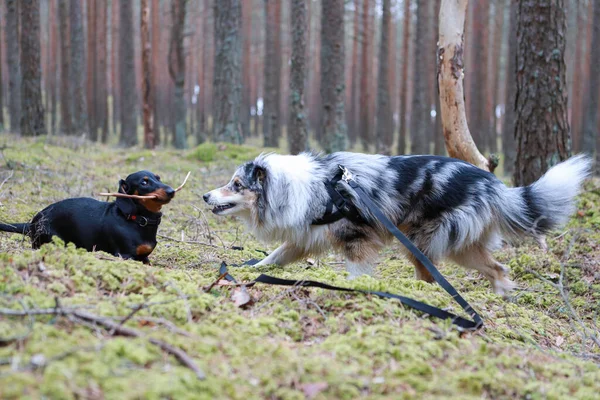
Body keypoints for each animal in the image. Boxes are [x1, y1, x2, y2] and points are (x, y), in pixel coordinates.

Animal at [204, 152, 592, 296]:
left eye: (236, 185)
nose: (206, 196)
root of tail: (493, 183)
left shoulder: (356, 237)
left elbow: (356, 270)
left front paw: (356, 287)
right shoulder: (304, 236)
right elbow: (275, 257)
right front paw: (250, 267)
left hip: (423, 241)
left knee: (437, 274)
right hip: (459, 248)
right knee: (498, 267)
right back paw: (502, 294)